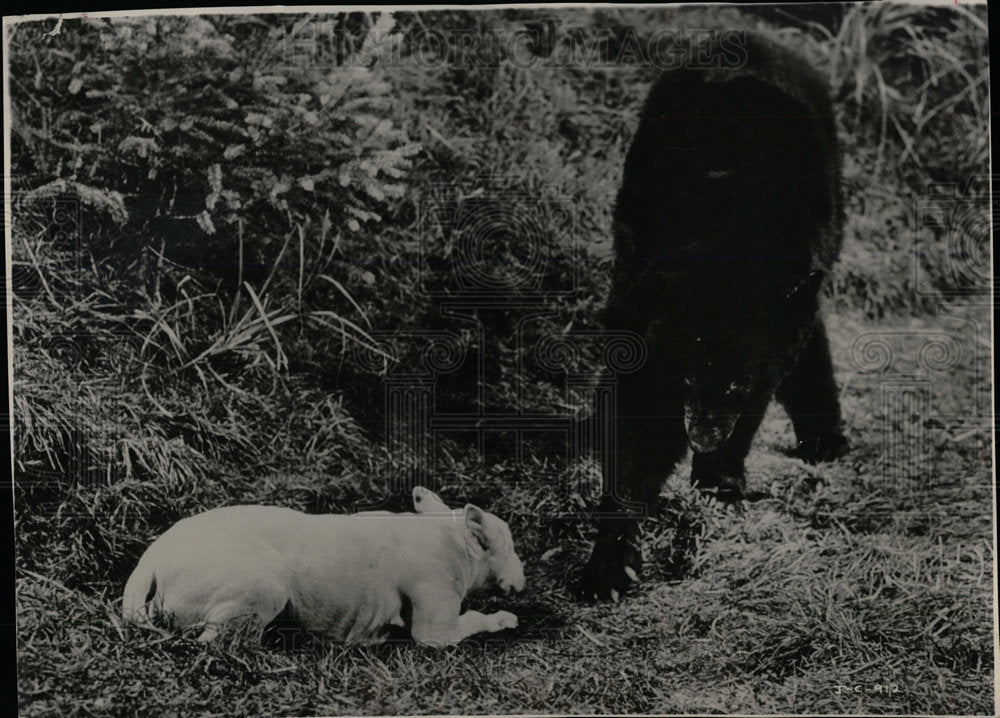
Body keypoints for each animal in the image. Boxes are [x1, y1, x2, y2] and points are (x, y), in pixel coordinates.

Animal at [584, 36, 848, 604]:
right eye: (685, 378)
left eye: (733, 386)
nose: (703, 439)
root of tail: (752, 38)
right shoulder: (642, 310)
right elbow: (637, 422)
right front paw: (612, 563)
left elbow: (757, 399)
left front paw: (719, 481)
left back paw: (824, 439)